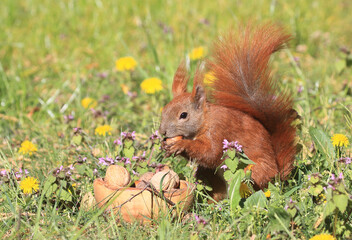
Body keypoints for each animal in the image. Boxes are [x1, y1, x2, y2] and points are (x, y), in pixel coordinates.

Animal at [160, 24, 296, 201]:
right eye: (164, 110)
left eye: (183, 115)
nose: (162, 132)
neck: (206, 120)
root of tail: (277, 176)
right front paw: (166, 146)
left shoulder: (219, 130)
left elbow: (210, 152)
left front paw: (181, 145)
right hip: (208, 175)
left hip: (250, 173)